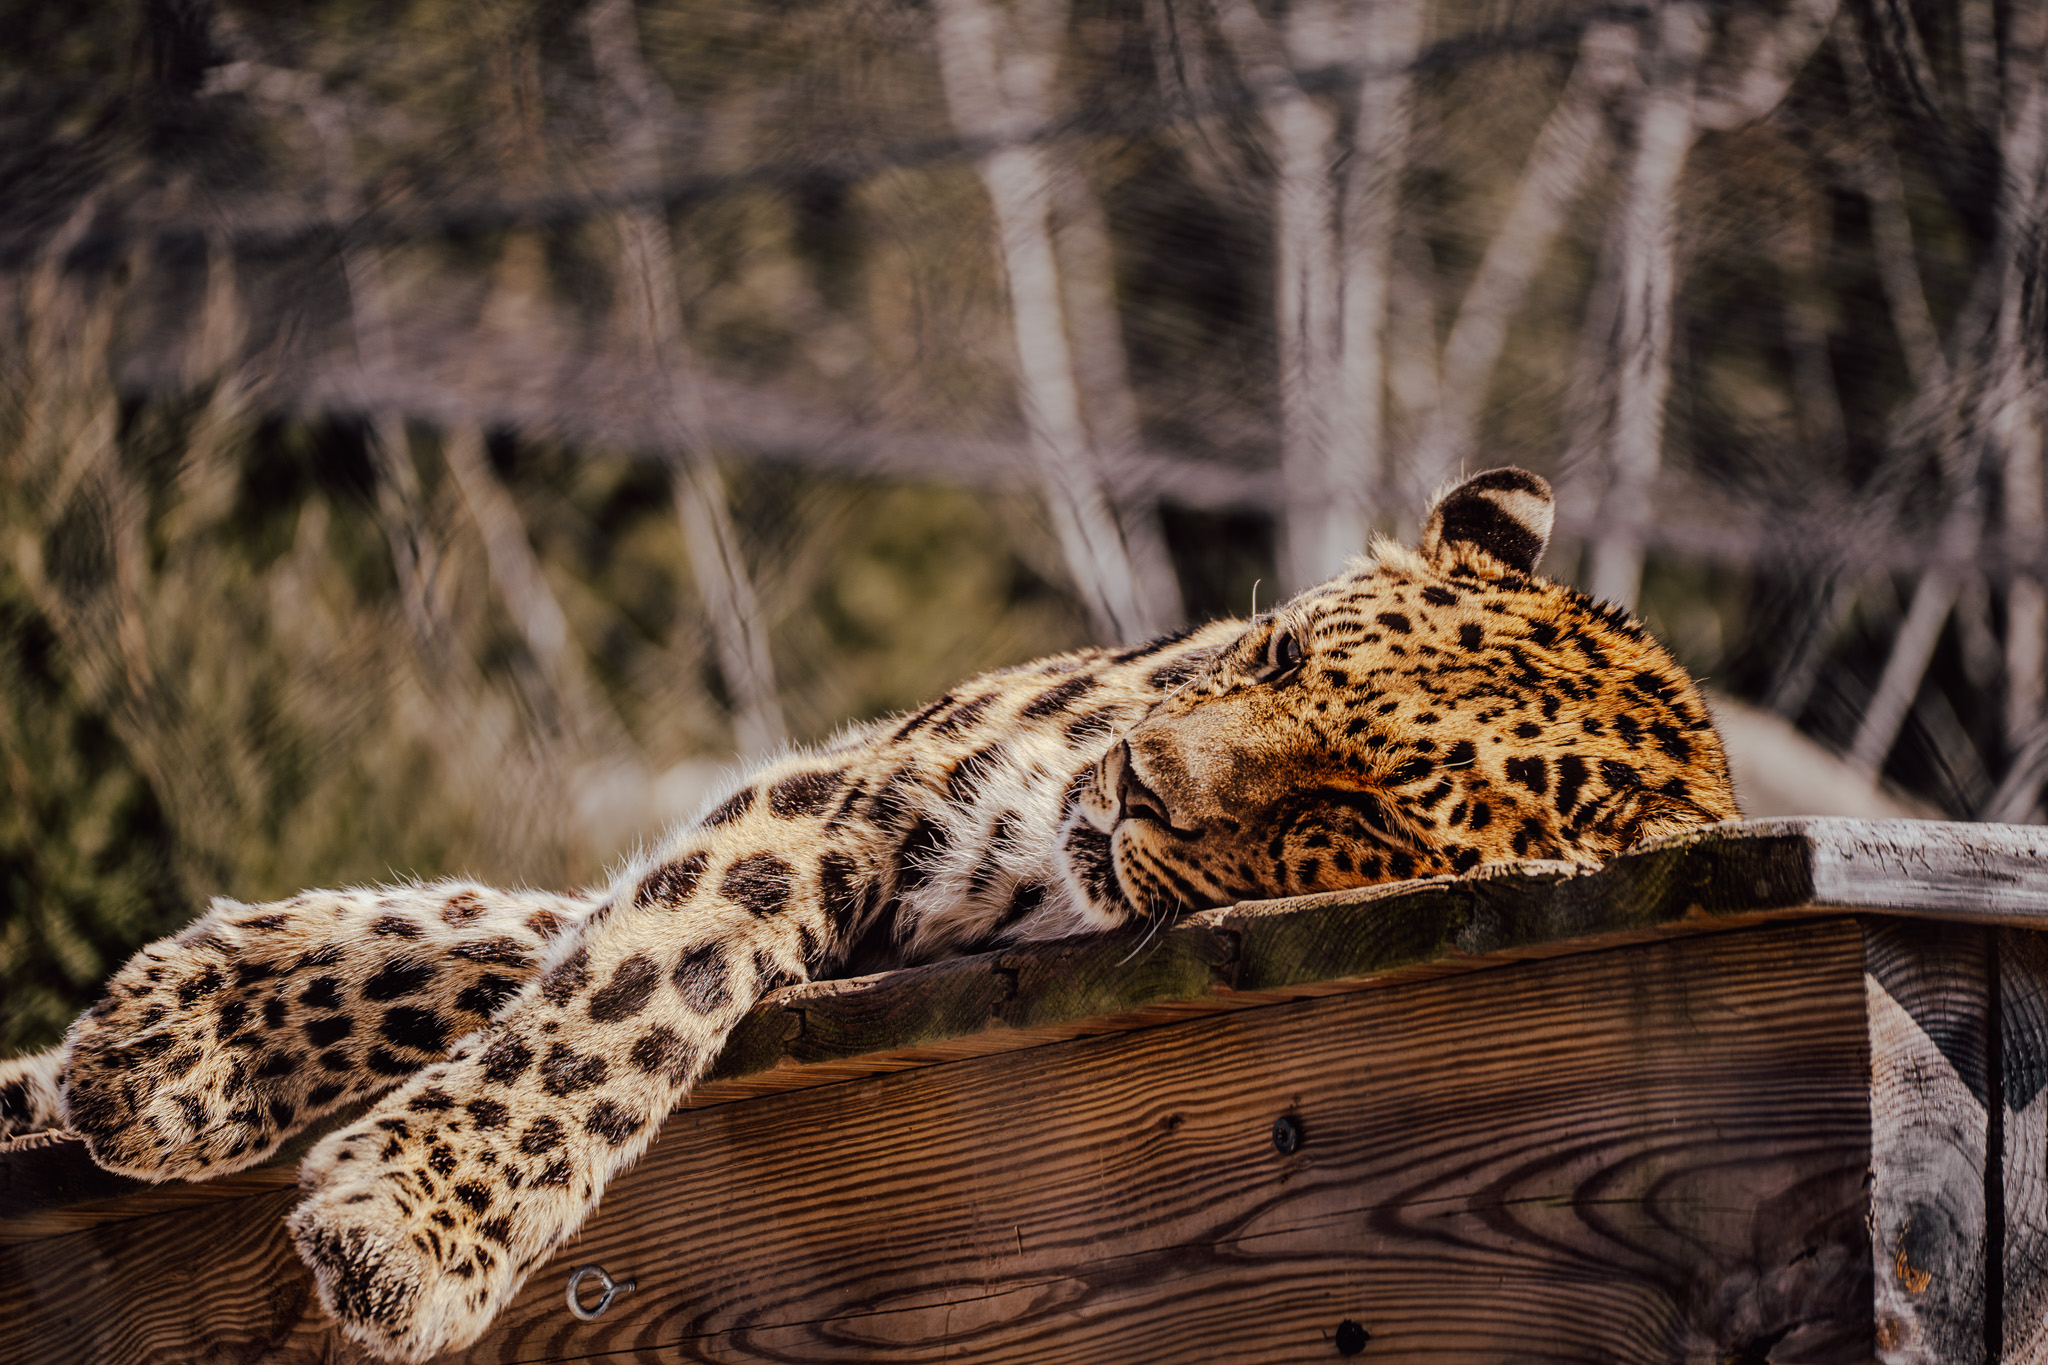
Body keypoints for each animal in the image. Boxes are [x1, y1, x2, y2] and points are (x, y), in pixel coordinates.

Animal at [0, 466, 1737, 1361]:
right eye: (1283, 656)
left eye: (1355, 816)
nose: (1138, 778)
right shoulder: (864, 794)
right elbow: (578, 966)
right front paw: (174, 1043)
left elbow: (594, 990)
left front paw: (400, 1218)